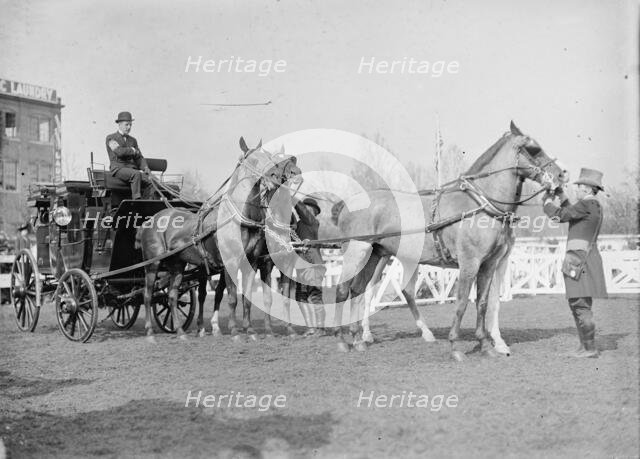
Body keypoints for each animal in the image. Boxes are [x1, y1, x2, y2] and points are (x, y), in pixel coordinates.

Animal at [136, 138, 293, 342]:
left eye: (267, 156)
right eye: (254, 160)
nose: (275, 177)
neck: (239, 218)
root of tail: (151, 220)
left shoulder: (251, 262)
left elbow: (247, 298)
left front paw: (250, 330)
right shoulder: (231, 263)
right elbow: (232, 298)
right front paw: (234, 331)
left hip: (177, 264)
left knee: (171, 295)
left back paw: (180, 332)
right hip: (153, 264)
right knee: (147, 295)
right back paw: (150, 332)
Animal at [330, 121, 568, 359]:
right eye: (534, 149)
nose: (561, 175)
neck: (481, 206)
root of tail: (348, 202)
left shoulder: (490, 264)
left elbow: (483, 303)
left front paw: (486, 344)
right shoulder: (469, 263)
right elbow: (462, 302)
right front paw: (455, 346)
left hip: (375, 253)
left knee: (359, 290)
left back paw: (359, 339)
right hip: (356, 252)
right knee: (344, 290)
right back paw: (343, 340)